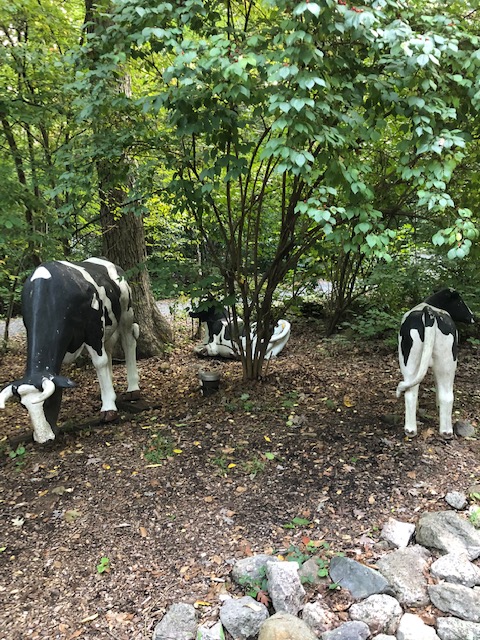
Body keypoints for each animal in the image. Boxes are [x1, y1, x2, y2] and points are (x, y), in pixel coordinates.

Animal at [0, 258, 140, 444]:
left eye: (47, 401)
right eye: (24, 406)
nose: (43, 438)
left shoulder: (93, 326)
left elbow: (99, 362)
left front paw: (109, 408)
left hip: (126, 311)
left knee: (128, 342)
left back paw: (132, 389)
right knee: (109, 348)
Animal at [396, 288, 474, 438]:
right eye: (460, 302)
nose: (472, 316)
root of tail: (429, 313)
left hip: (413, 361)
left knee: (414, 392)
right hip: (444, 362)